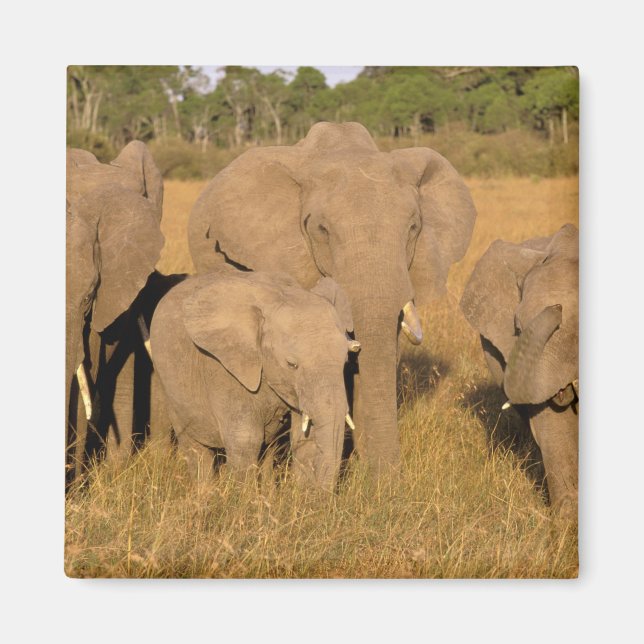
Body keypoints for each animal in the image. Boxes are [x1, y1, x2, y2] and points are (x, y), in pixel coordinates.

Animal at [149, 268, 360, 489]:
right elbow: (246, 439)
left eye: (345, 362)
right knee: (195, 448)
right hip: (169, 384)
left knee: (267, 449)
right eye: (291, 365)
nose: (323, 494)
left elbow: (305, 438)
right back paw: (204, 493)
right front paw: (242, 496)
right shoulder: (223, 368)